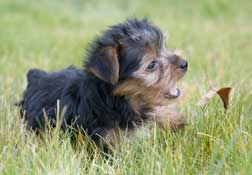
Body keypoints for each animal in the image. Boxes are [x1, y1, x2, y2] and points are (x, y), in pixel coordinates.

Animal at [18, 18, 188, 148]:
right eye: (152, 64)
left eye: (165, 47)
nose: (185, 63)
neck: (117, 99)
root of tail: (36, 76)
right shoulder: (99, 136)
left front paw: (172, 118)